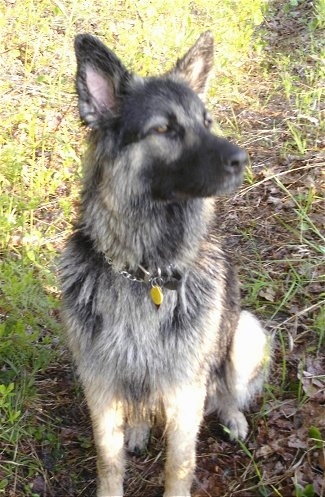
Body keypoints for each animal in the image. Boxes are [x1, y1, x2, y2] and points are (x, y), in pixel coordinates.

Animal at [59, 32, 270, 496]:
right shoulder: (101, 386)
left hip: (247, 333)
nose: (242, 159)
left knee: (228, 392)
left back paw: (232, 417)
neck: (144, 273)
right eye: (164, 129)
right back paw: (138, 429)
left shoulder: (185, 391)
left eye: (207, 122)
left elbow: (179, 463)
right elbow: (108, 460)